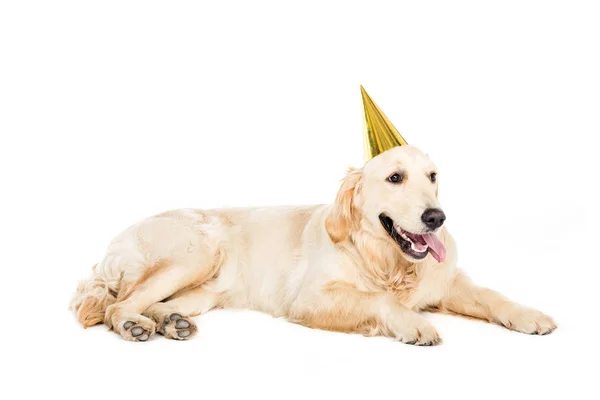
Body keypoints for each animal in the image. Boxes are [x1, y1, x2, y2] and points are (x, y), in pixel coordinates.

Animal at [71, 146, 556, 344]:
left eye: (433, 177)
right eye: (395, 177)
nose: (436, 218)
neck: (387, 260)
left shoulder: (446, 281)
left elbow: (491, 295)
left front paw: (529, 315)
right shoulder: (309, 299)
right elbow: (378, 301)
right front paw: (412, 324)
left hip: (204, 291)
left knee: (152, 304)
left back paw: (170, 322)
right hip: (197, 252)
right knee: (118, 306)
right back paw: (134, 326)